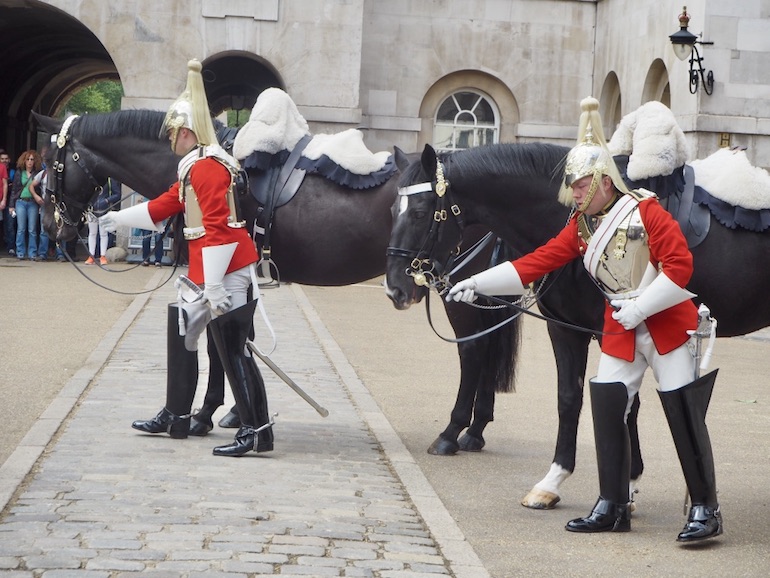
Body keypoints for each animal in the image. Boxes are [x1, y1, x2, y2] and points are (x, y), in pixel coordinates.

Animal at [33, 109, 520, 460]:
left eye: (50, 167)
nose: (52, 228)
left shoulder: (220, 270)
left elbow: (219, 345)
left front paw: (205, 415)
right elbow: (234, 341)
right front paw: (234, 414)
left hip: (452, 284)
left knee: (472, 351)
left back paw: (452, 431)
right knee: (485, 344)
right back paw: (476, 429)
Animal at [390, 142, 768, 506]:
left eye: (420, 213)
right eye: (393, 209)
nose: (396, 288)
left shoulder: (611, 331)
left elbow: (626, 400)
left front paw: (626, 483)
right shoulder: (565, 328)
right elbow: (570, 398)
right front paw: (554, 481)